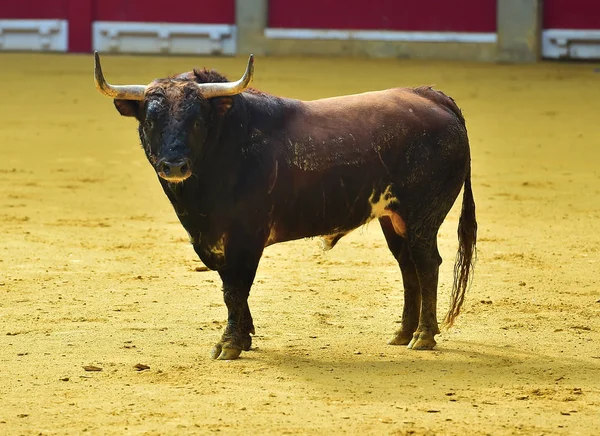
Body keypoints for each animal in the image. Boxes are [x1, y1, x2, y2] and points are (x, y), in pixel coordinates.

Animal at [95, 51, 478, 360]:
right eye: (150, 120)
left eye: (198, 120)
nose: (174, 165)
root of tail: (432, 96)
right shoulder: (214, 238)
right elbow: (231, 286)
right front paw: (245, 337)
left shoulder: (244, 237)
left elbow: (235, 287)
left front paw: (230, 344)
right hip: (393, 218)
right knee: (407, 266)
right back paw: (402, 333)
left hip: (422, 217)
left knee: (426, 264)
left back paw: (423, 336)